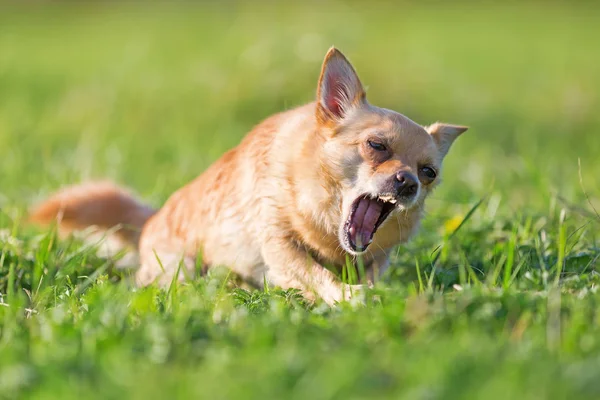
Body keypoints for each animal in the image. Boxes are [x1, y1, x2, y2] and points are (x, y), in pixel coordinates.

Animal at [30, 49, 466, 306]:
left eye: (428, 173)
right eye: (377, 146)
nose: (408, 183)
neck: (325, 225)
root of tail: (152, 218)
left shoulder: (374, 258)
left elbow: (369, 274)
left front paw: (369, 291)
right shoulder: (280, 245)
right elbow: (316, 274)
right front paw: (347, 296)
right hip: (179, 269)